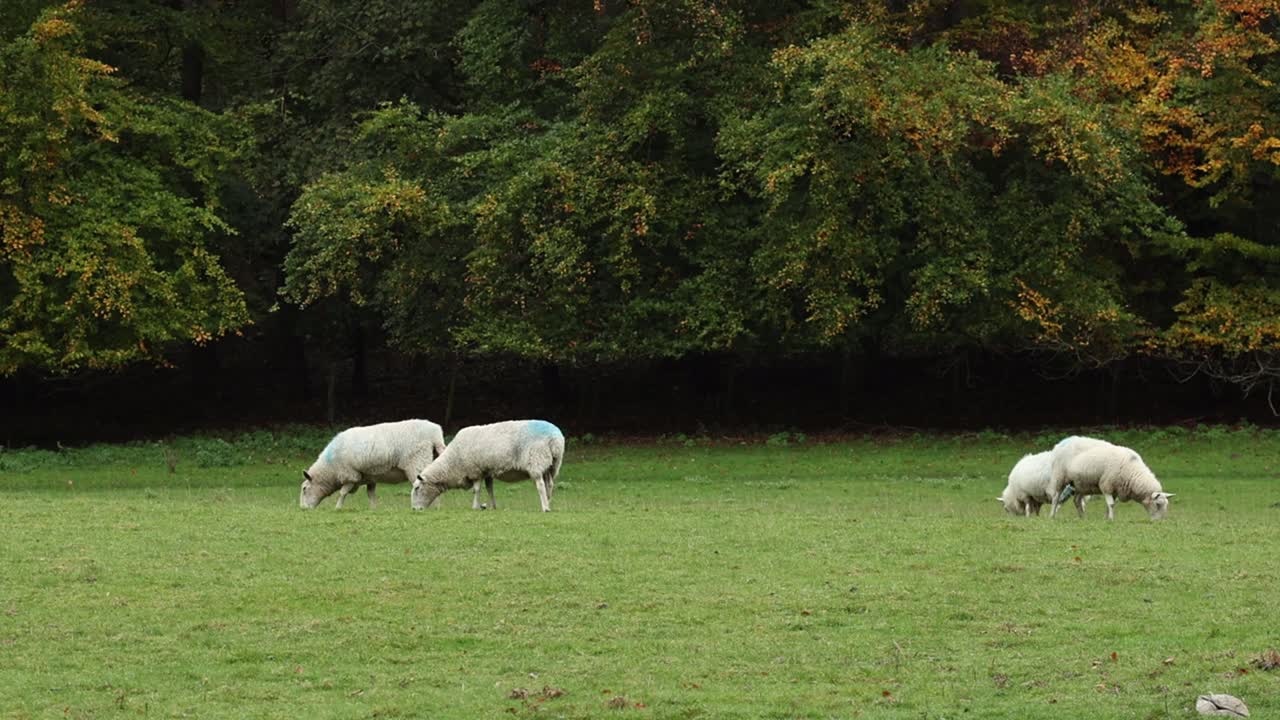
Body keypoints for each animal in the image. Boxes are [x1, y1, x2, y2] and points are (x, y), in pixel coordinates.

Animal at [300, 419, 446, 509]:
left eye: (304, 489)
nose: (302, 509)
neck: (329, 470)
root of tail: (435, 433)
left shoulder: (350, 475)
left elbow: (342, 493)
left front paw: (338, 507)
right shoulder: (369, 477)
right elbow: (370, 494)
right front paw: (373, 509)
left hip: (417, 462)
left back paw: (433, 507)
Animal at [411, 420, 564, 512]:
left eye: (417, 488)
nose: (414, 509)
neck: (452, 462)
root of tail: (555, 438)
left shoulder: (475, 470)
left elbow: (476, 490)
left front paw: (475, 506)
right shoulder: (487, 471)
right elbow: (490, 489)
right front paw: (492, 506)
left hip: (536, 461)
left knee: (540, 485)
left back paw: (545, 507)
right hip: (551, 464)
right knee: (550, 484)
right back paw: (549, 503)